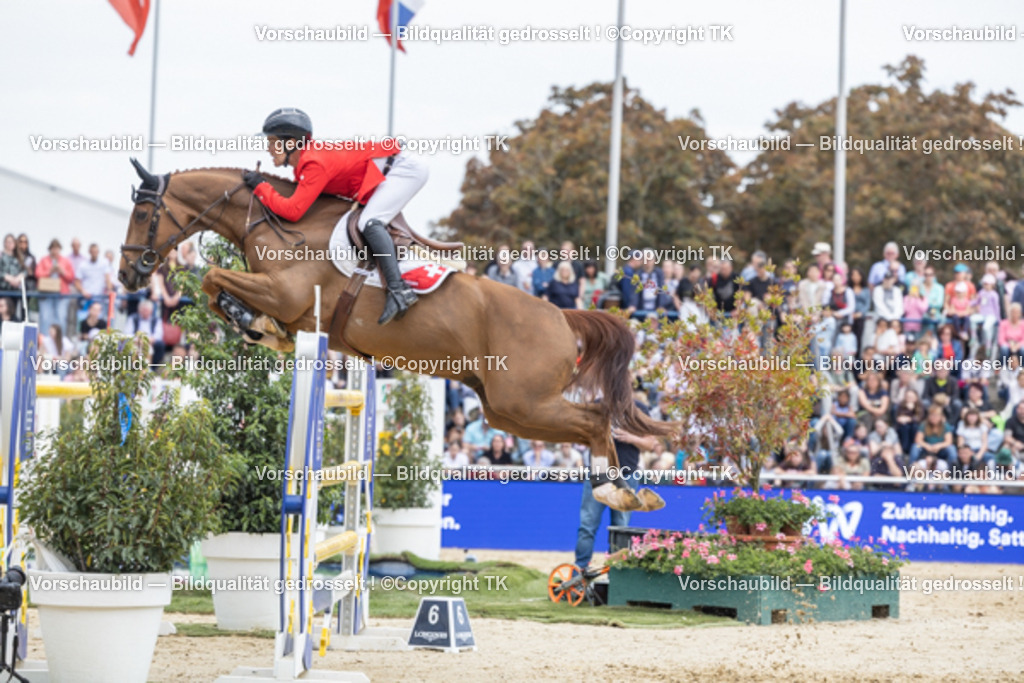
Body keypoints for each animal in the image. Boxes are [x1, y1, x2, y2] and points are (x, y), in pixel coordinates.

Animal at [117, 160, 676, 510]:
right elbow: (215, 288)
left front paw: (256, 324)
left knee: (595, 419)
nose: (127, 276)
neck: (276, 224)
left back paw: (616, 492)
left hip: (523, 401)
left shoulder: (287, 295)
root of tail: (562, 317)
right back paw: (627, 491)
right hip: (507, 410)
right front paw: (259, 329)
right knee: (591, 423)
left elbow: (213, 279)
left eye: (143, 213)